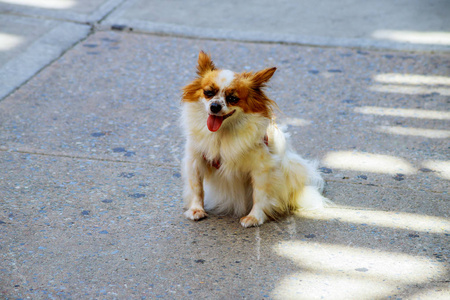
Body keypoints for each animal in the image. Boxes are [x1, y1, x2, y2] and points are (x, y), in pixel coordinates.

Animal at [181, 51, 328, 226]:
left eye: (233, 98)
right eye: (208, 93)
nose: (214, 106)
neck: (222, 133)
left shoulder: (261, 168)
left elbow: (259, 194)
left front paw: (255, 217)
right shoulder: (195, 161)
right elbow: (197, 188)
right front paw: (196, 209)